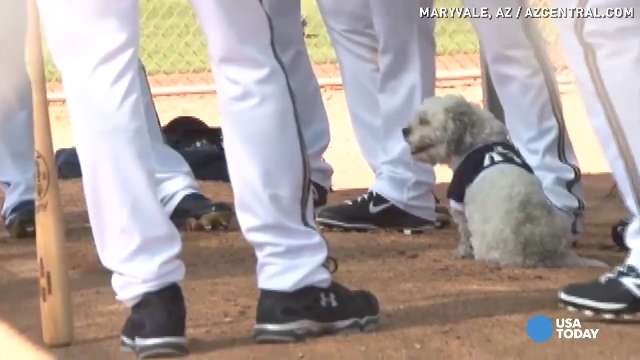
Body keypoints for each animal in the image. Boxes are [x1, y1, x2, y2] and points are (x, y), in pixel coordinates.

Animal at [404, 95, 604, 268]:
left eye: (424, 121)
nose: (404, 130)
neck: (480, 141)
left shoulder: (458, 199)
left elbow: (463, 233)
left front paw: (461, 252)